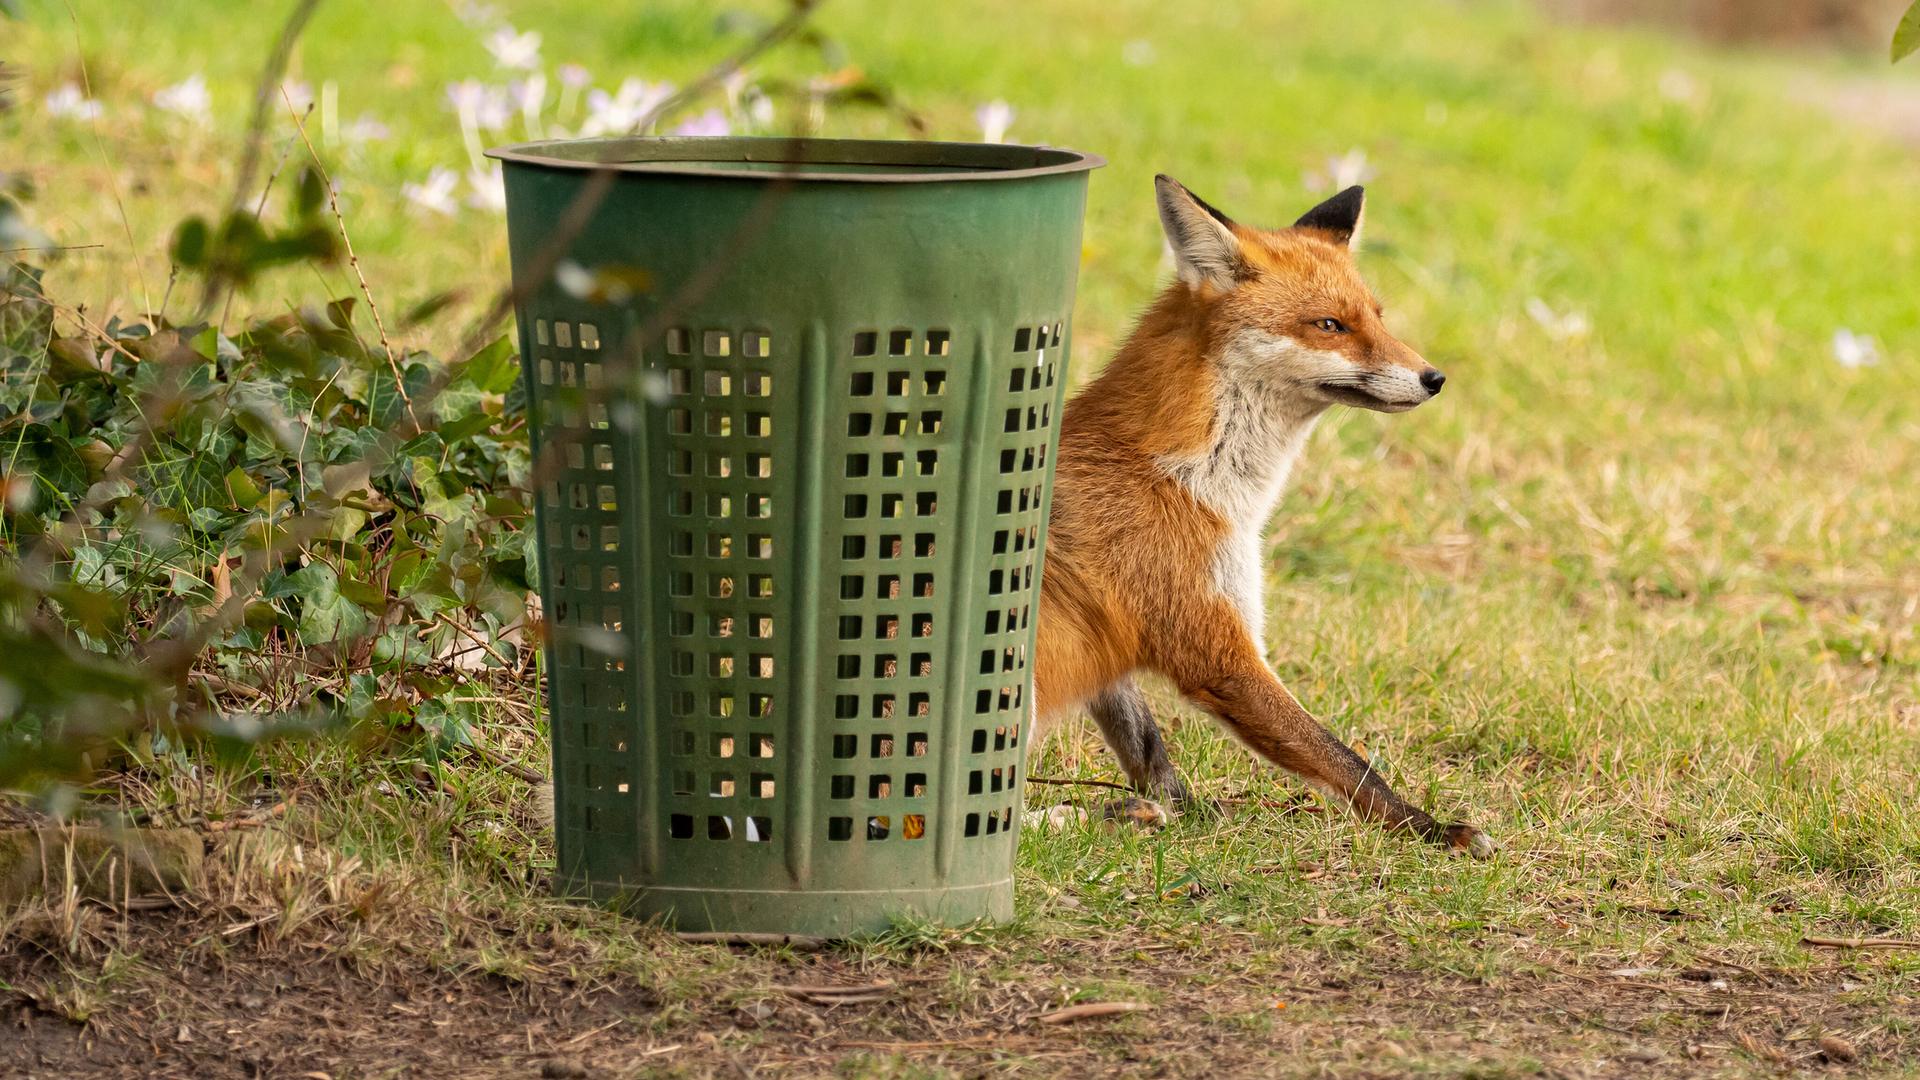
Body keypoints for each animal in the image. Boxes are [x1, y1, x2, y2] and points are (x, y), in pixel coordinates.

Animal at [1031, 176, 1494, 858]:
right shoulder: (1215, 646)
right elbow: (1347, 761)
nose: (1434, 378)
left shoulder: (1121, 646)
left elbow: (1148, 749)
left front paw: (1192, 813)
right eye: (1330, 325)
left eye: (1376, 317)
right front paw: (1431, 830)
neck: (1191, 478)